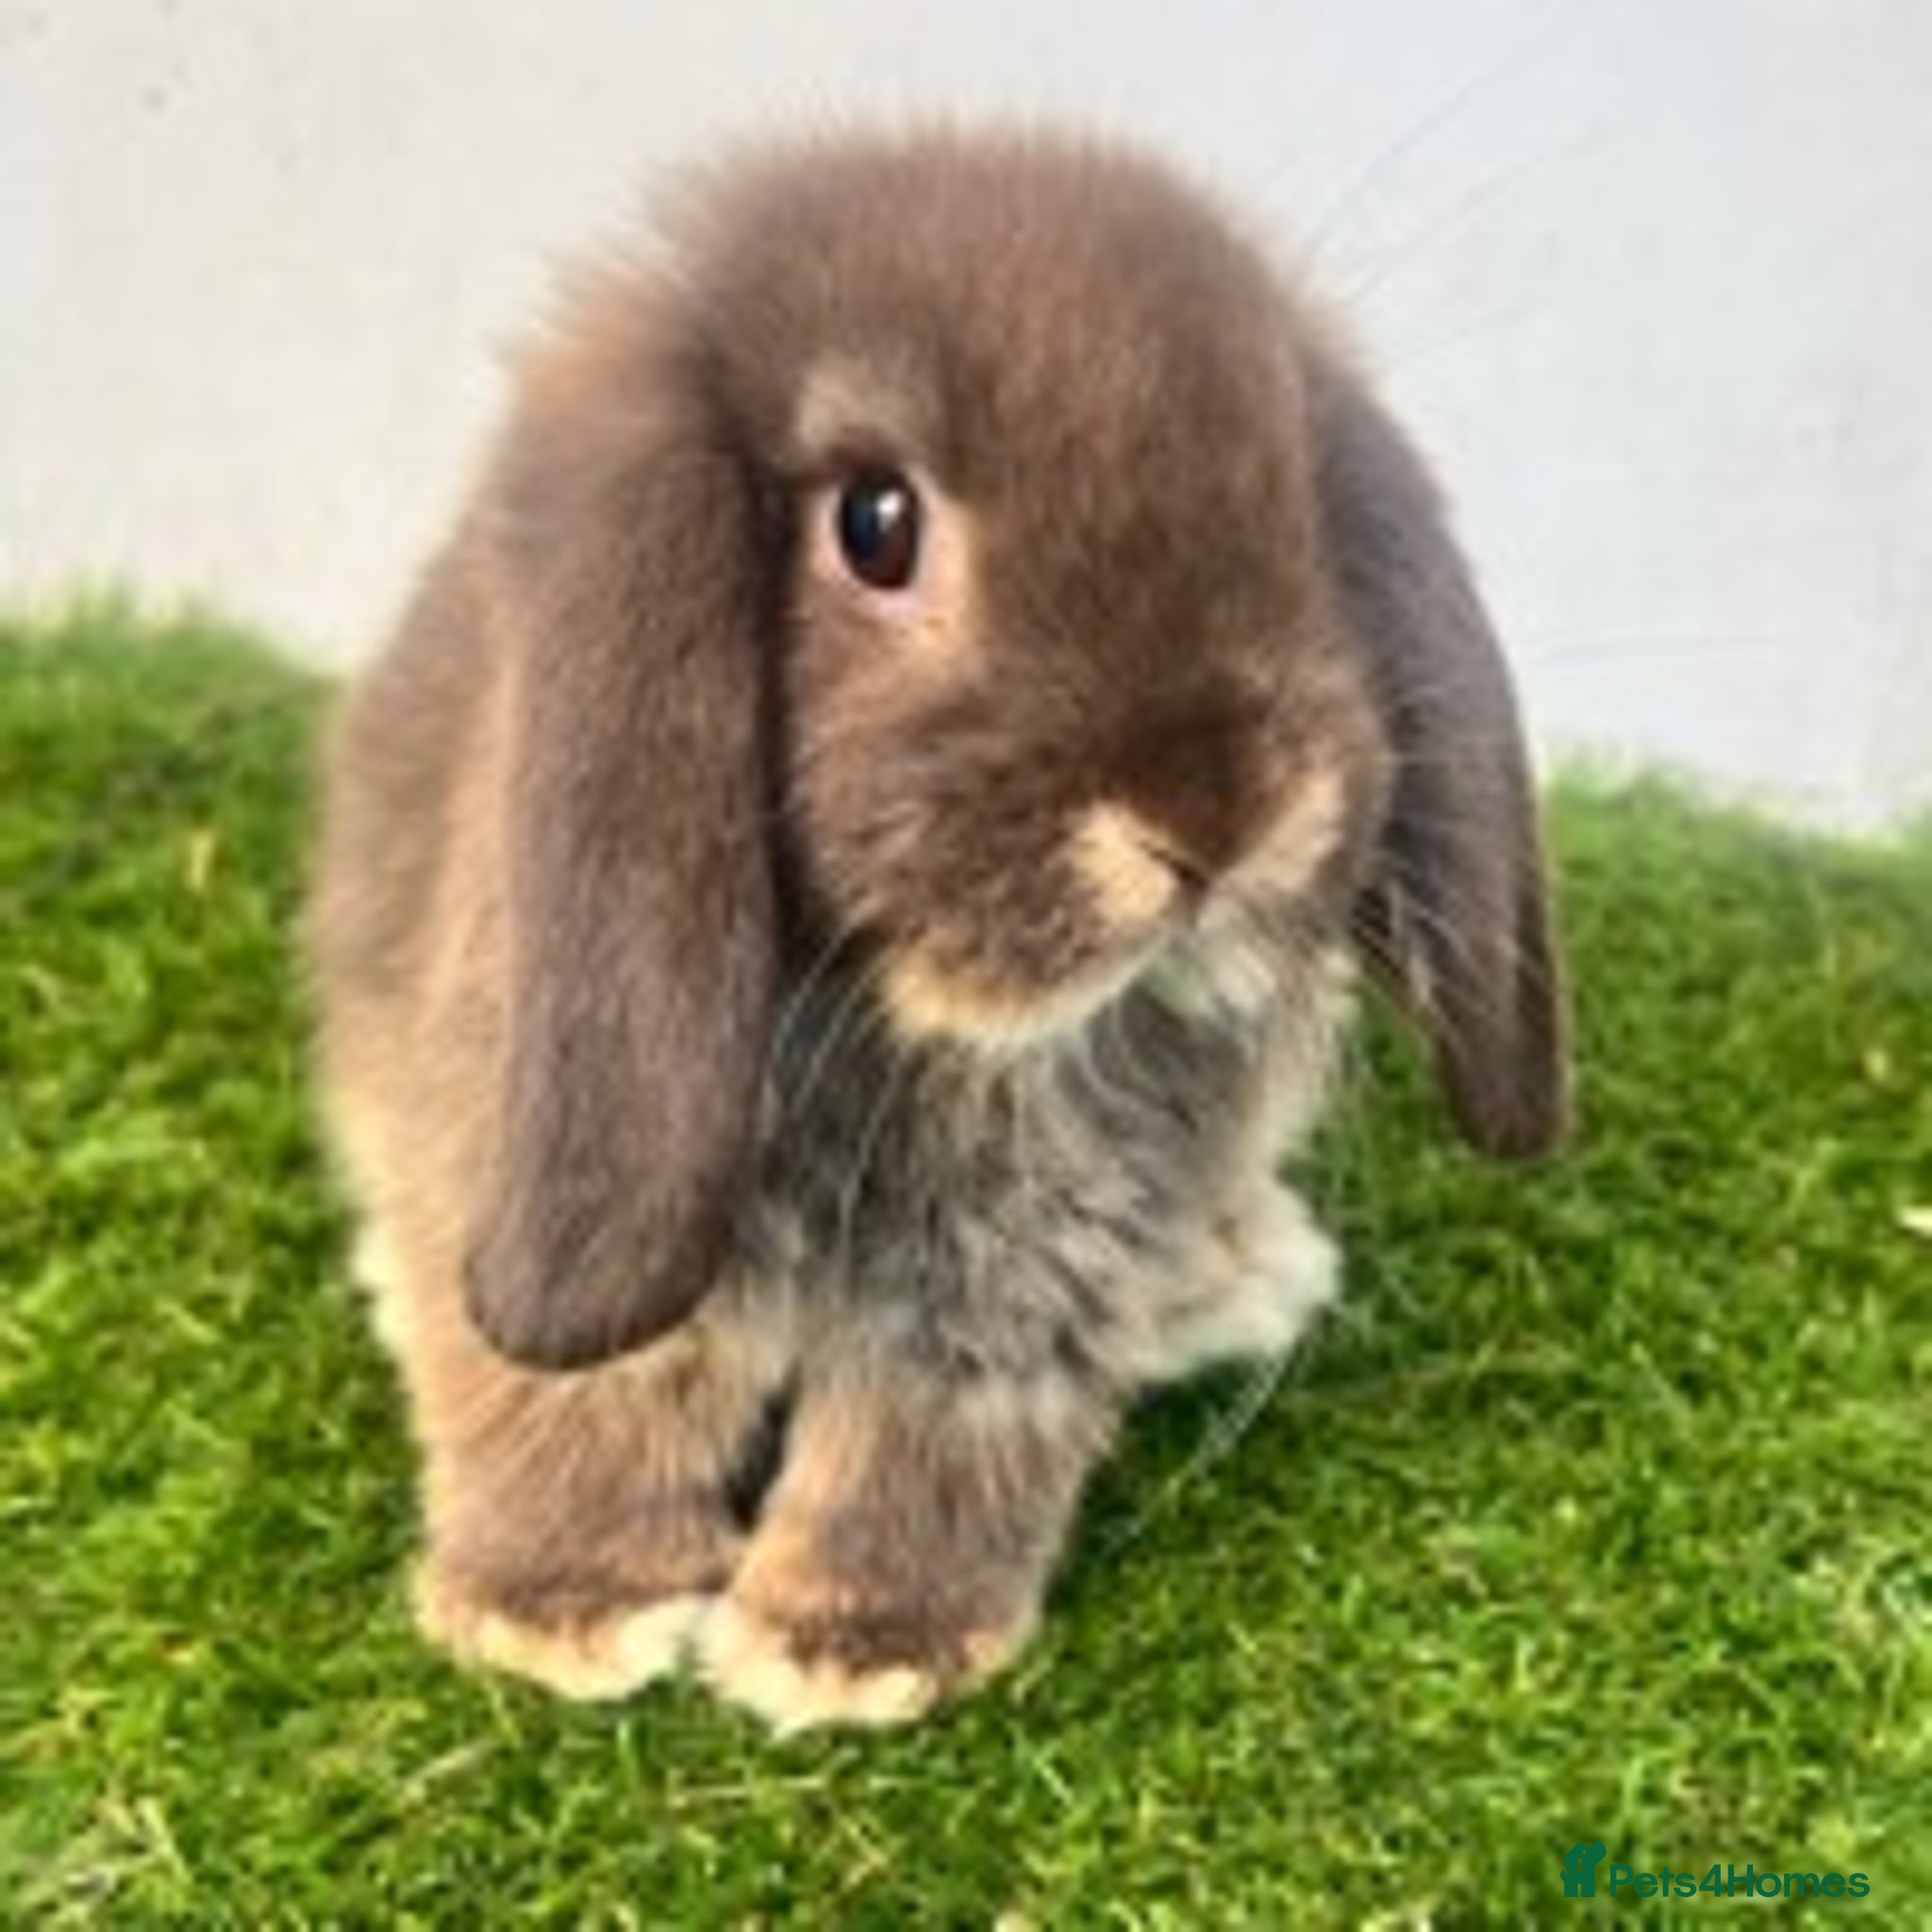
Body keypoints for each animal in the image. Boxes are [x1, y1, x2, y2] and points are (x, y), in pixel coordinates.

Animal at [307, 124, 1566, 1731]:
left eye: (1292, 502)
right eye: (875, 523)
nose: (1216, 817)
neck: (903, 1022)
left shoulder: (1017, 1282)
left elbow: (937, 1439)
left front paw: (855, 1647)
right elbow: (580, 1398)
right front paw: (556, 1612)